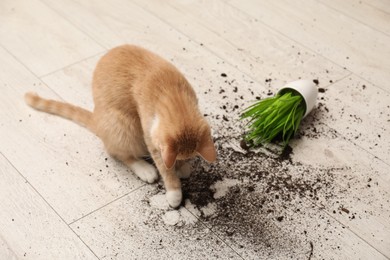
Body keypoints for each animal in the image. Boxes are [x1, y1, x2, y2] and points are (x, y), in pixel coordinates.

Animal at [25, 44, 216, 207]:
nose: (179, 164)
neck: (172, 93)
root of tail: (97, 118)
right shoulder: (150, 137)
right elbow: (164, 167)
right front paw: (174, 191)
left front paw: (181, 167)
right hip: (123, 127)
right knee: (121, 154)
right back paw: (144, 169)